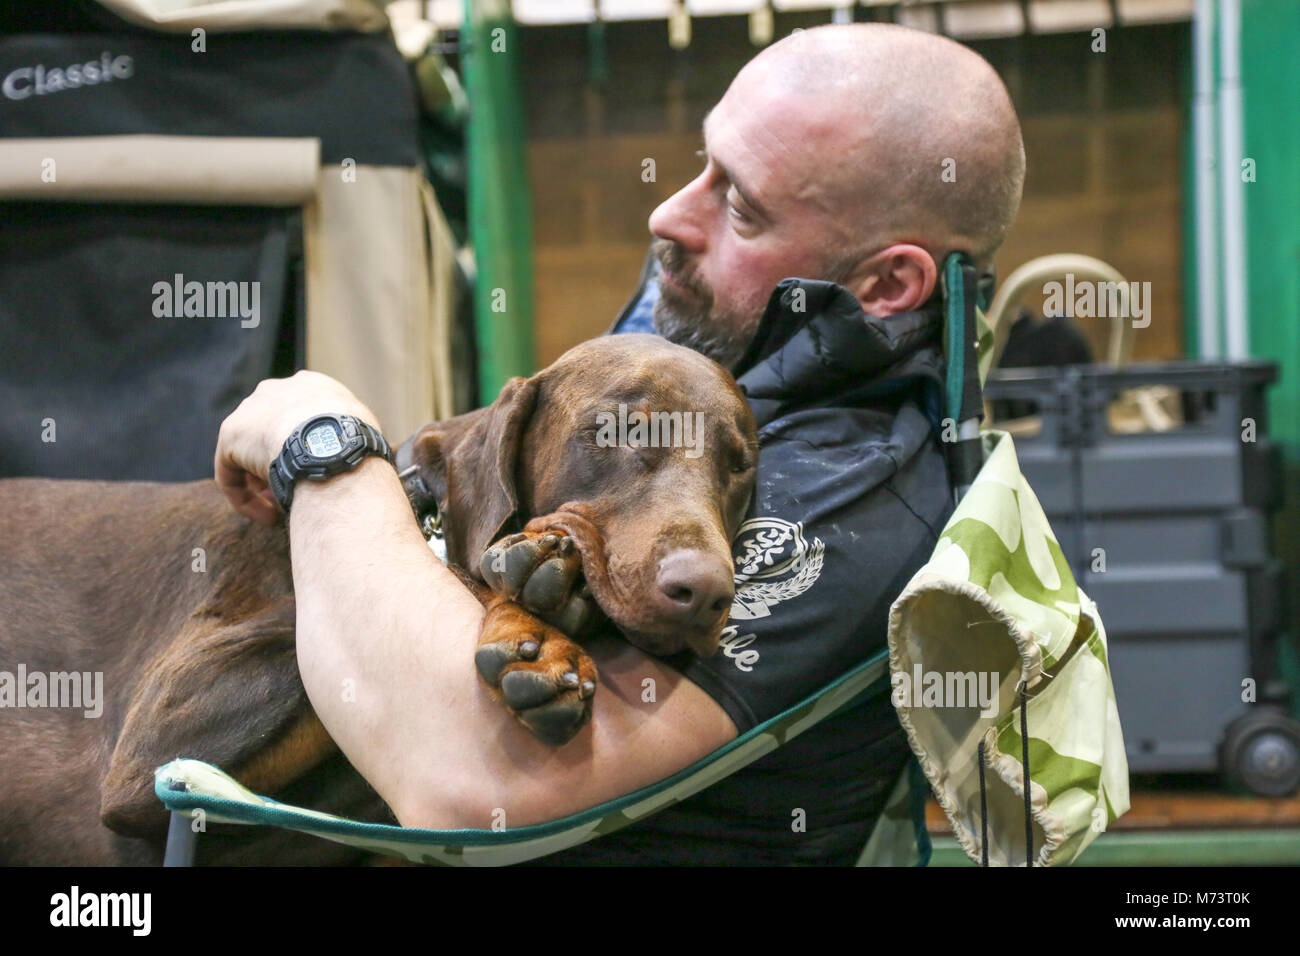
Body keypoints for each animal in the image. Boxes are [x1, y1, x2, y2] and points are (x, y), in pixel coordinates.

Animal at [0, 338, 754, 868]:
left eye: (740, 464)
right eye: (617, 431)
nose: (705, 593)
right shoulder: (159, 739)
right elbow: (467, 571)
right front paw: (544, 619)